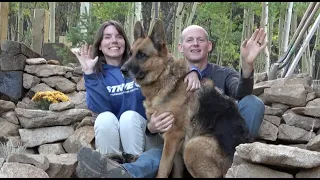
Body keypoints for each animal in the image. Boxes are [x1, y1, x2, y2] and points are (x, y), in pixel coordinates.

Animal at [120, 20, 250, 179]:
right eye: (130, 54)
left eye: (142, 55)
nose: (122, 69)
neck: (164, 76)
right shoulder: (175, 146)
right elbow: (175, 170)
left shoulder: (172, 137)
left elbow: (163, 168)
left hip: (192, 146)